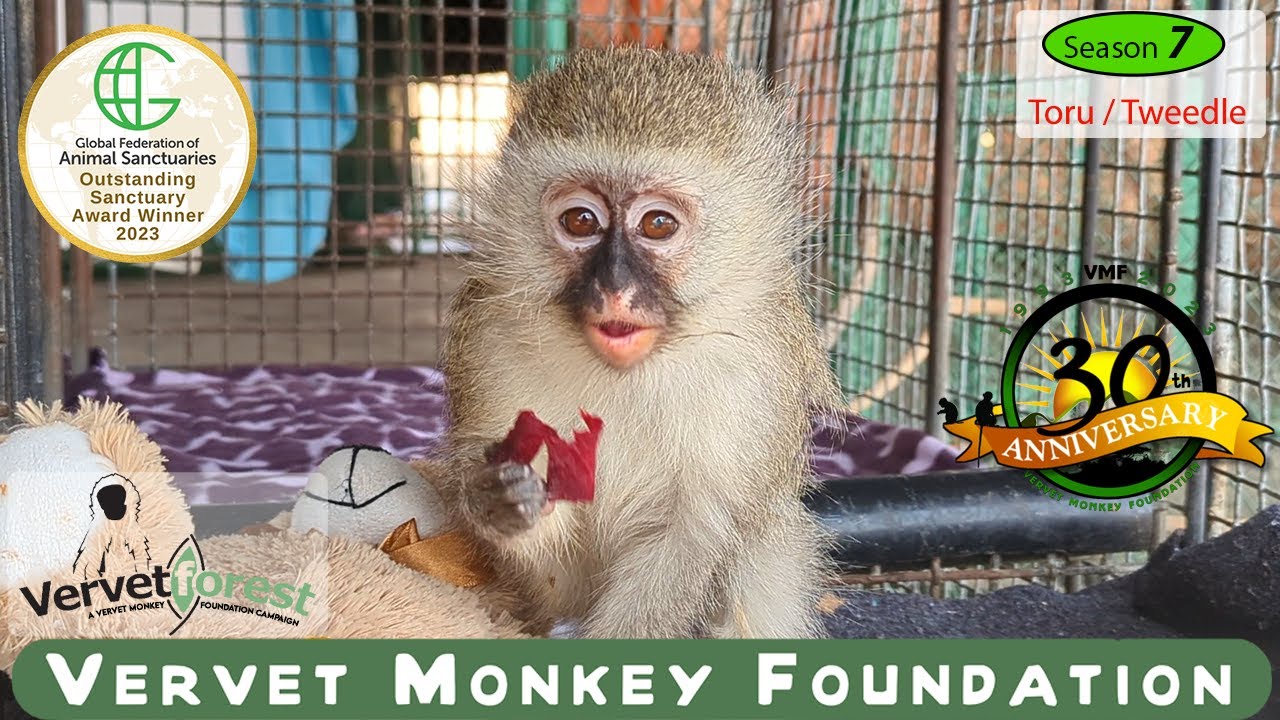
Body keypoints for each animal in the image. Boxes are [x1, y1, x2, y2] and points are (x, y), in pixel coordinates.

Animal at [418, 48, 844, 639]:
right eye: (580, 220)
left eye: (658, 224)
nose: (615, 286)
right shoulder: (487, 344)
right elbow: (555, 577)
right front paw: (500, 501)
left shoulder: (760, 375)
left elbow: (693, 535)